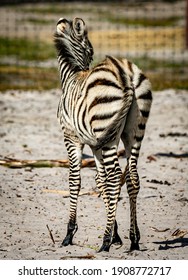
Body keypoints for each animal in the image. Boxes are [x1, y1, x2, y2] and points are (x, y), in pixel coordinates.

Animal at [53, 17, 152, 253]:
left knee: (116, 176)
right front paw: (116, 233)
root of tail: (126, 74)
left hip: (107, 132)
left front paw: (70, 233)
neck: (71, 75)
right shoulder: (95, 144)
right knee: (132, 177)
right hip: (133, 132)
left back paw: (105, 242)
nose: (88, 66)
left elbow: (75, 180)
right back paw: (134, 239)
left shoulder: (72, 138)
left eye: (91, 52)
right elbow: (101, 182)